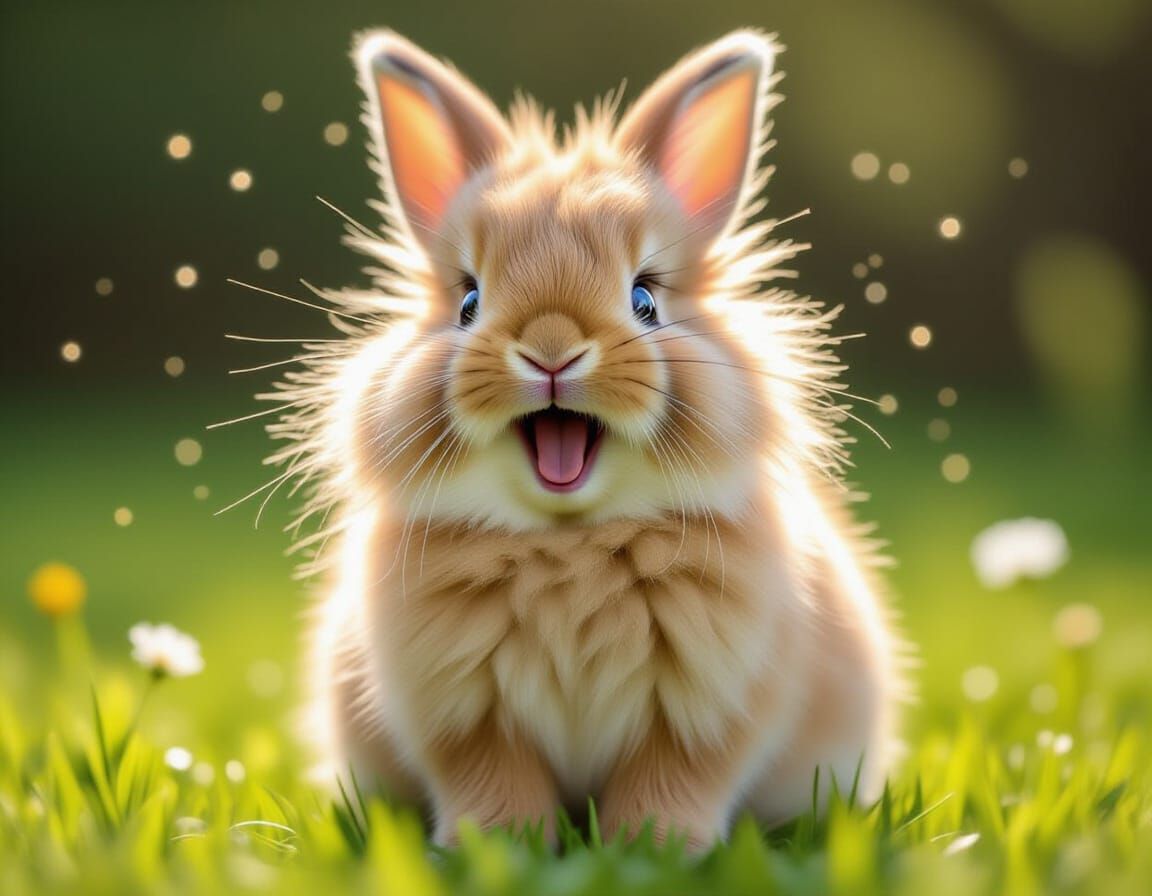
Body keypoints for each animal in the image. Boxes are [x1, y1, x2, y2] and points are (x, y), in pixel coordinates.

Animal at [277, 28, 909, 849]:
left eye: (644, 299)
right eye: (469, 302)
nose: (551, 350)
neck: (567, 544)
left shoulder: (706, 717)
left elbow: (671, 783)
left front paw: (656, 847)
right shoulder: (467, 724)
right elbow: (496, 783)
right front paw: (497, 845)